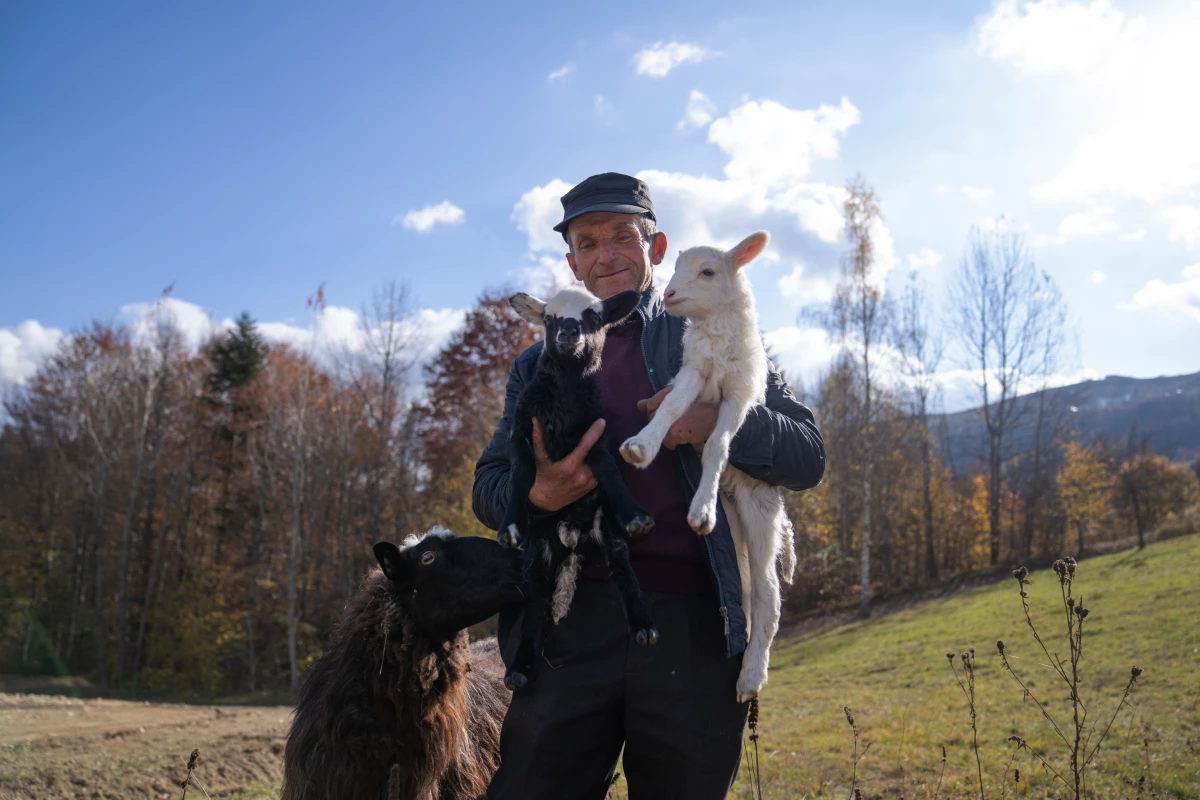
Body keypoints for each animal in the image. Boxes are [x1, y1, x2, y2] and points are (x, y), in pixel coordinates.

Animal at [501, 286, 658, 692]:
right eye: (547, 318)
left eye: (594, 317)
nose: (569, 333)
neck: (567, 396)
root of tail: (571, 536)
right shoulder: (521, 427)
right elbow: (522, 473)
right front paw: (510, 526)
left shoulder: (596, 431)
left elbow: (608, 469)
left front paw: (636, 514)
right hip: (537, 552)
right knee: (537, 603)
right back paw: (520, 669)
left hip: (607, 532)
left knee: (623, 573)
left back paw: (644, 627)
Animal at [618, 231, 795, 703]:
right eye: (676, 267)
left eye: (708, 272)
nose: (670, 294)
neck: (716, 332)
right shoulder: (693, 372)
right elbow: (670, 409)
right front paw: (640, 447)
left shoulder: (739, 393)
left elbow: (717, 443)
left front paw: (700, 512)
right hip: (735, 527)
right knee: (747, 588)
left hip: (759, 510)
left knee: (769, 595)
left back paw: (751, 677)